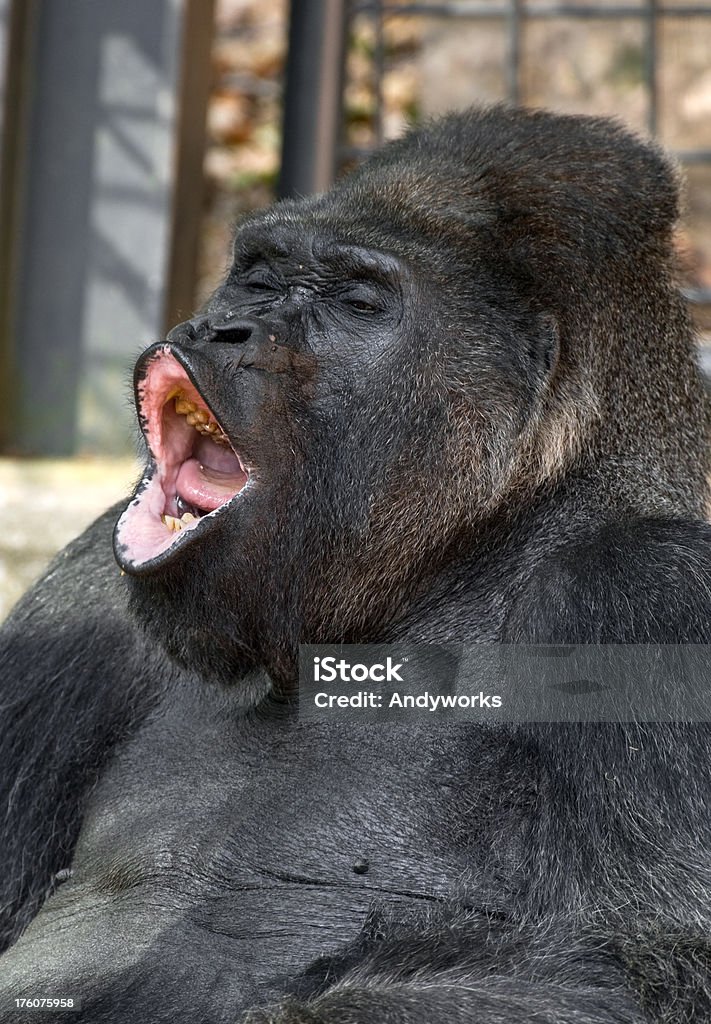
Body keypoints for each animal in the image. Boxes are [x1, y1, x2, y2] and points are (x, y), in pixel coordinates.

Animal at [1, 105, 711, 1024]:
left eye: (356, 303)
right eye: (259, 279)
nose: (223, 329)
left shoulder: (649, 591)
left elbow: (648, 966)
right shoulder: (85, 586)